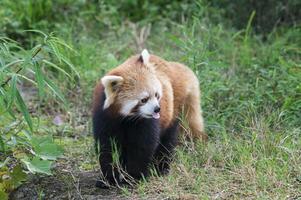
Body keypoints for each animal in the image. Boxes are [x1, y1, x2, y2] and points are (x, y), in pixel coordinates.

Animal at [92, 49, 206, 188]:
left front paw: (134, 177)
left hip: (174, 110)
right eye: (144, 100)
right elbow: (107, 147)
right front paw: (108, 179)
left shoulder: (146, 123)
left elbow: (142, 147)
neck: (125, 118)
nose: (157, 109)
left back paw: (161, 168)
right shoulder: (104, 117)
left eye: (156, 95)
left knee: (167, 142)